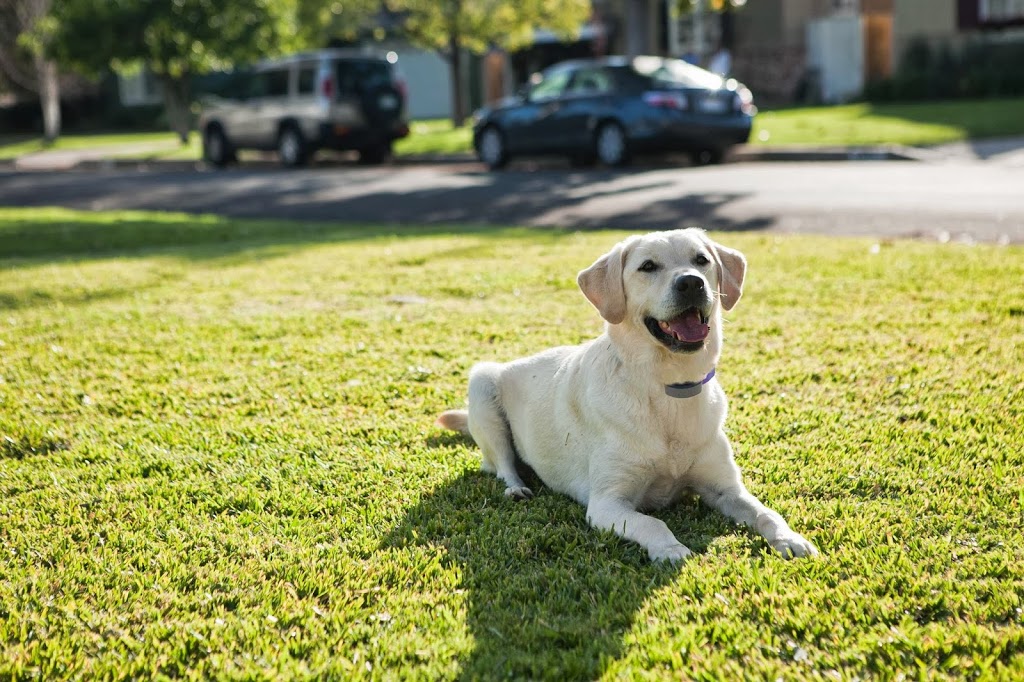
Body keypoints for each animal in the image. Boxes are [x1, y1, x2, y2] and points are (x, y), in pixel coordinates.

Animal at [436, 225, 819, 561]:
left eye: (701, 260)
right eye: (647, 266)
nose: (691, 282)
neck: (670, 387)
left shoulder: (727, 489)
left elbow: (766, 513)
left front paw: (790, 538)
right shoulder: (607, 503)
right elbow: (652, 523)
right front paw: (671, 550)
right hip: (483, 385)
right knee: (502, 465)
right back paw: (515, 487)